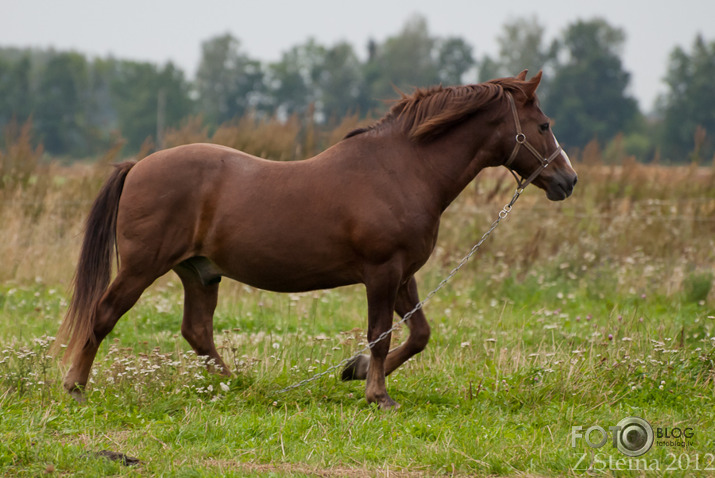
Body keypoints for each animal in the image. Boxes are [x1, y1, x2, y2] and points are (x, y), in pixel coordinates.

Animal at [57, 73, 580, 408]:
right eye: (544, 125)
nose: (568, 180)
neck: (403, 169)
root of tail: (138, 166)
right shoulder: (382, 272)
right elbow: (379, 333)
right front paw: (377, 395)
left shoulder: (404, 273)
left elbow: (418, 334)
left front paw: (355, 372)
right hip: (142, 267)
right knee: (103, 316)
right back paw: (75, 388)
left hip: (200, 273)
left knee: (197, 332)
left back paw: (236, 388)